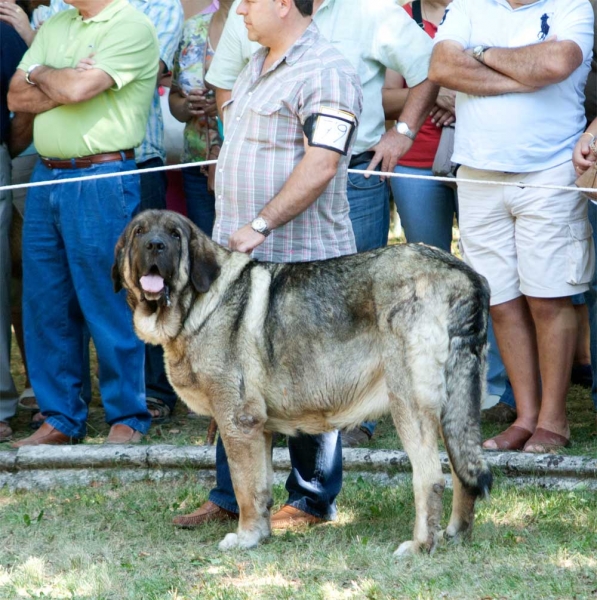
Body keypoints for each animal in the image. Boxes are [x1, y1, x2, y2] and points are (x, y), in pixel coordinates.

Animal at [114, 210, 492, 552]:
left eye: (174, 234)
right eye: (140, 232)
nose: (155, 245)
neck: (197, 303)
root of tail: (462, 275)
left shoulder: (238, 424)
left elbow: (244, 488)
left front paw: (245, 537)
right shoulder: (259, 430)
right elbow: (260, 488)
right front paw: (260, 534)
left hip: (409, 405)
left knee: (431, 478)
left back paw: (420, 545)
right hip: (455, 407)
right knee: (462, 471)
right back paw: (456, 534)